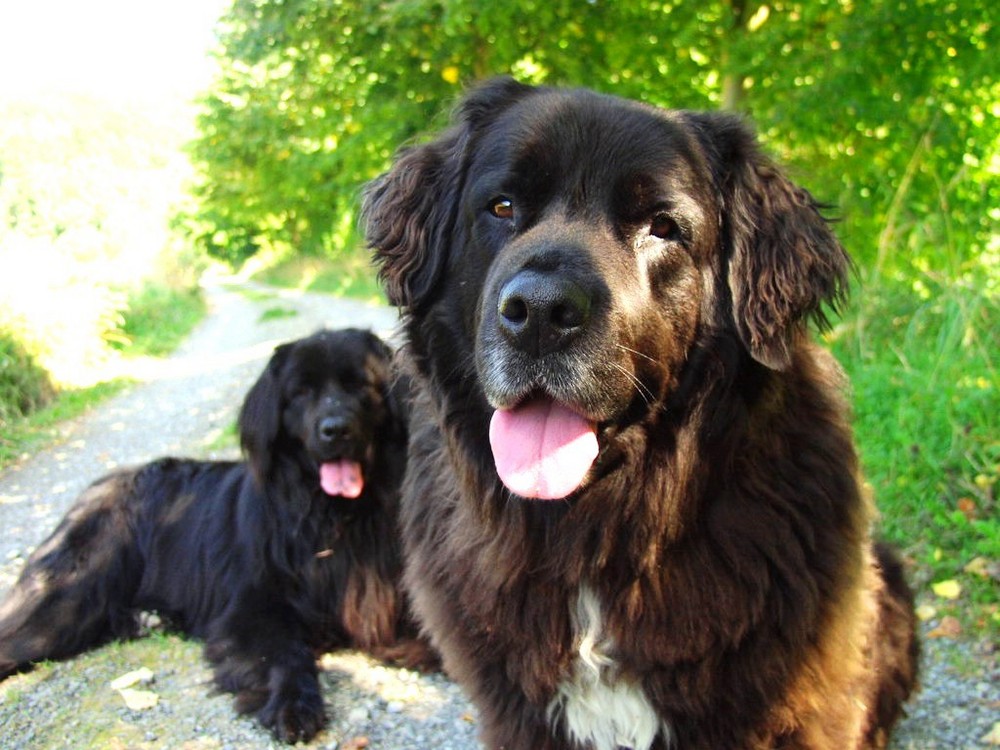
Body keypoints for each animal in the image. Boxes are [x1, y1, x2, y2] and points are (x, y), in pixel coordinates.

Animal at [0, 330, 430, 748]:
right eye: (301, 392)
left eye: (359, 385)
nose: (335, 429)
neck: (333, 515)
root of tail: (96, 488)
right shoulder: (251, 607)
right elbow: (282, 655)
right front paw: (292, 705)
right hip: (71, 593)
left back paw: (148, 619)